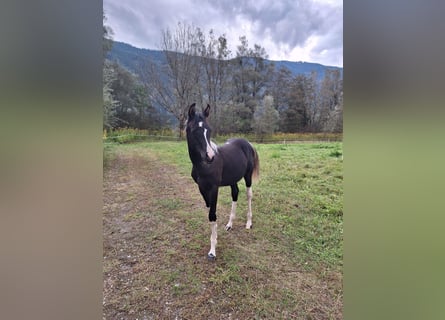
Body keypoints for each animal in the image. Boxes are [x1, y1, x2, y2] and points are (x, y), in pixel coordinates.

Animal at [185, 103, 260, 260]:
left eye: (209, 130)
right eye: (194, 130)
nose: (210, 156)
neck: (203, 166)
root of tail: (247, 143)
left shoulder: (214, 188)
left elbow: (212, 214)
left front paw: (212, 250)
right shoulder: (202, 188)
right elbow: (210, 212)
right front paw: (215, 239)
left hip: (248, 176)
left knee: (249, 195)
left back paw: (249, 223)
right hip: (233, 178)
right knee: (235, 194)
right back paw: (229, 224)